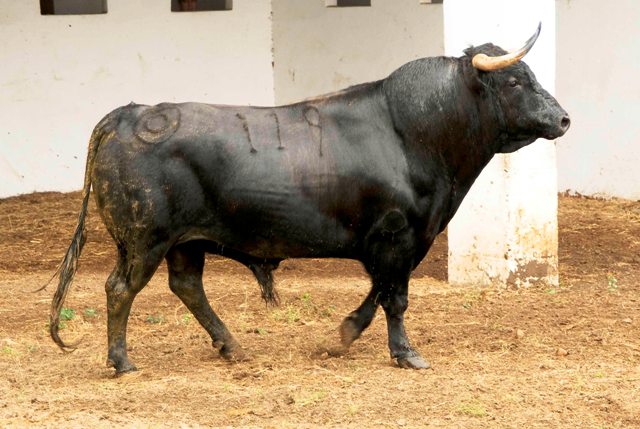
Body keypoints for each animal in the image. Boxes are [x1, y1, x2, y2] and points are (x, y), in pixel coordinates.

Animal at [50, 33, 568, 372]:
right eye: (515, 81)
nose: (563, 119)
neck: (412, 133)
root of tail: (131, 113)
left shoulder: (391, 244)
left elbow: (379, 294)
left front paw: (347, 333)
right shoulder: (399, 238)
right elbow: (394, 297)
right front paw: (404, 353)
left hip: (185, 242)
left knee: (187, 287)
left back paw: (231, 347)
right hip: (144, 240)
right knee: (120, 289)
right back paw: (121, 361)